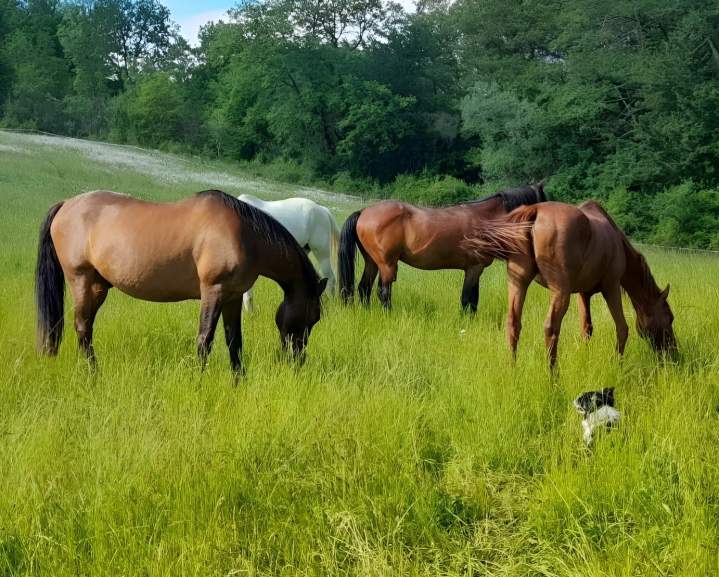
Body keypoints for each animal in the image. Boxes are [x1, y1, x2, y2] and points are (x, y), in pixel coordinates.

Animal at [35, 189, 327, 376]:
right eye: (312, 317)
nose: (298, 359)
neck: (245, 236)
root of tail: (66, 204)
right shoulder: (213, 291)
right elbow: (205, 339)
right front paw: (198, 380)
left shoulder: (233, 297)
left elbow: (234, 341)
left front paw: (239, 381)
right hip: (81, 281)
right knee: (82, 327)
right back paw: (93, 374)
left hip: (97, 286)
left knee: (85, 328)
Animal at [338, 184, 546, 311]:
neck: (486, 219)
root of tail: (364, 211)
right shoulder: (474, 269)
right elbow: (467, 299)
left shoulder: (475, 269)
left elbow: (473, 301)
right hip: (387, 265)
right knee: (383, 292)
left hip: (372, 262)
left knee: (364, 288)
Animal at [463, 200, 676, 368]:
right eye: (669, 317)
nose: (673, 353)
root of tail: (535, 211)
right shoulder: (612, 287)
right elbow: (622, 328)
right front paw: (618, 366)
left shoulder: (583, 293)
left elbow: (587, 329)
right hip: (560, 292)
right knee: (550, 328)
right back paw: (553, 378)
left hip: (518, 283)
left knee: (513, 324)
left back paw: (512, 369)